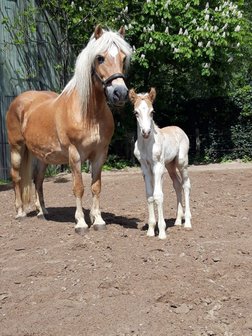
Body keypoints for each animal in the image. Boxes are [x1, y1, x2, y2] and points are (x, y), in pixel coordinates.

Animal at [5, 25, 132, 234]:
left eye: (123, 58)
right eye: (100, 58)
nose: (119, 93)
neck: (88, 114)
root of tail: (19, 101)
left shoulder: (100, 153)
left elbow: (96, 186)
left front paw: (98, 220)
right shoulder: (75, 154)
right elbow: (78, 187)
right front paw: (81, 223)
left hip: (43, 157)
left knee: (37, 180)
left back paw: (42, 211)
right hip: (17, 148)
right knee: (16, 177)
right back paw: (20, 212)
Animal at [129, 86, 192, 239]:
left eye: (152, 112)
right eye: (136, 112)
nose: (146, 132)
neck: (147, 145)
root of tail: (179, 129)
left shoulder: (158, 166)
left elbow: (158, 195)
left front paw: (162, 231)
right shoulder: (145, 168)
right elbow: (149, 196)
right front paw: (151, 230)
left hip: (181, 162)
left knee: (186, 185)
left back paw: (187, 222)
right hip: (170, 165)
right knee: (177, 185)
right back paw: (177, 221)